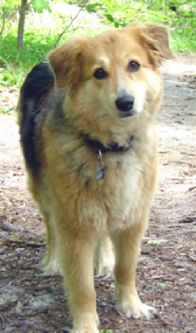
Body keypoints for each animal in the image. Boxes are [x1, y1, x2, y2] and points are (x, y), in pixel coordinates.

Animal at [16, 22, 173, 330]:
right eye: (99, 72)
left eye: (134, 65)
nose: (125, 102)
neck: (110, 148)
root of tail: (43, 62)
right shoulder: (75, 224)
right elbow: (82, 287)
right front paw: (86, 326)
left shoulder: (134, 217)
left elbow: (126, 268)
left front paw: (130, 304)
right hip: (44, 191)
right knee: (51, 229)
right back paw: (54, 262)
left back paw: (105, 261)